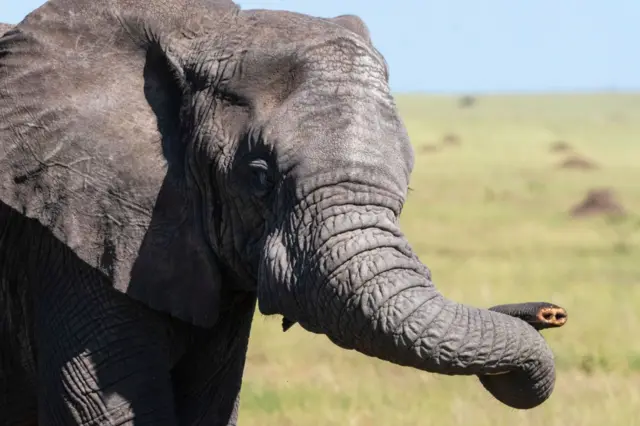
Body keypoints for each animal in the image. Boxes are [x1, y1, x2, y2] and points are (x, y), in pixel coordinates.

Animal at [0, 0, 564, 424]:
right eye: (259, 175)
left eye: (407, 180)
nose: (549, 313)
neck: (201, 30)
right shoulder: (74, 222)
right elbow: (105, 410)